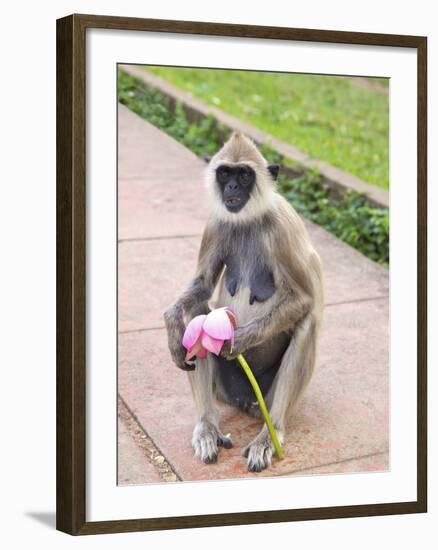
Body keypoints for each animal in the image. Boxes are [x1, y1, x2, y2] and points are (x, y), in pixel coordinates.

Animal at [163, 132, 324, 472]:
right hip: (224, 390)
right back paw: (207, 426)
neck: (250, 219)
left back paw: (270, 433)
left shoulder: (282, 224)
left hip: (267, 394)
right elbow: (202, 287)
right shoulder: (216, 224)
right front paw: (171, 323)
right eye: (225, 173)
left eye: (244, 175)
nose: (233, 189)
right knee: (197, 313)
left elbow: (303, 299)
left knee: (307, 322)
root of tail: (245, 400)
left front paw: (236, 341)